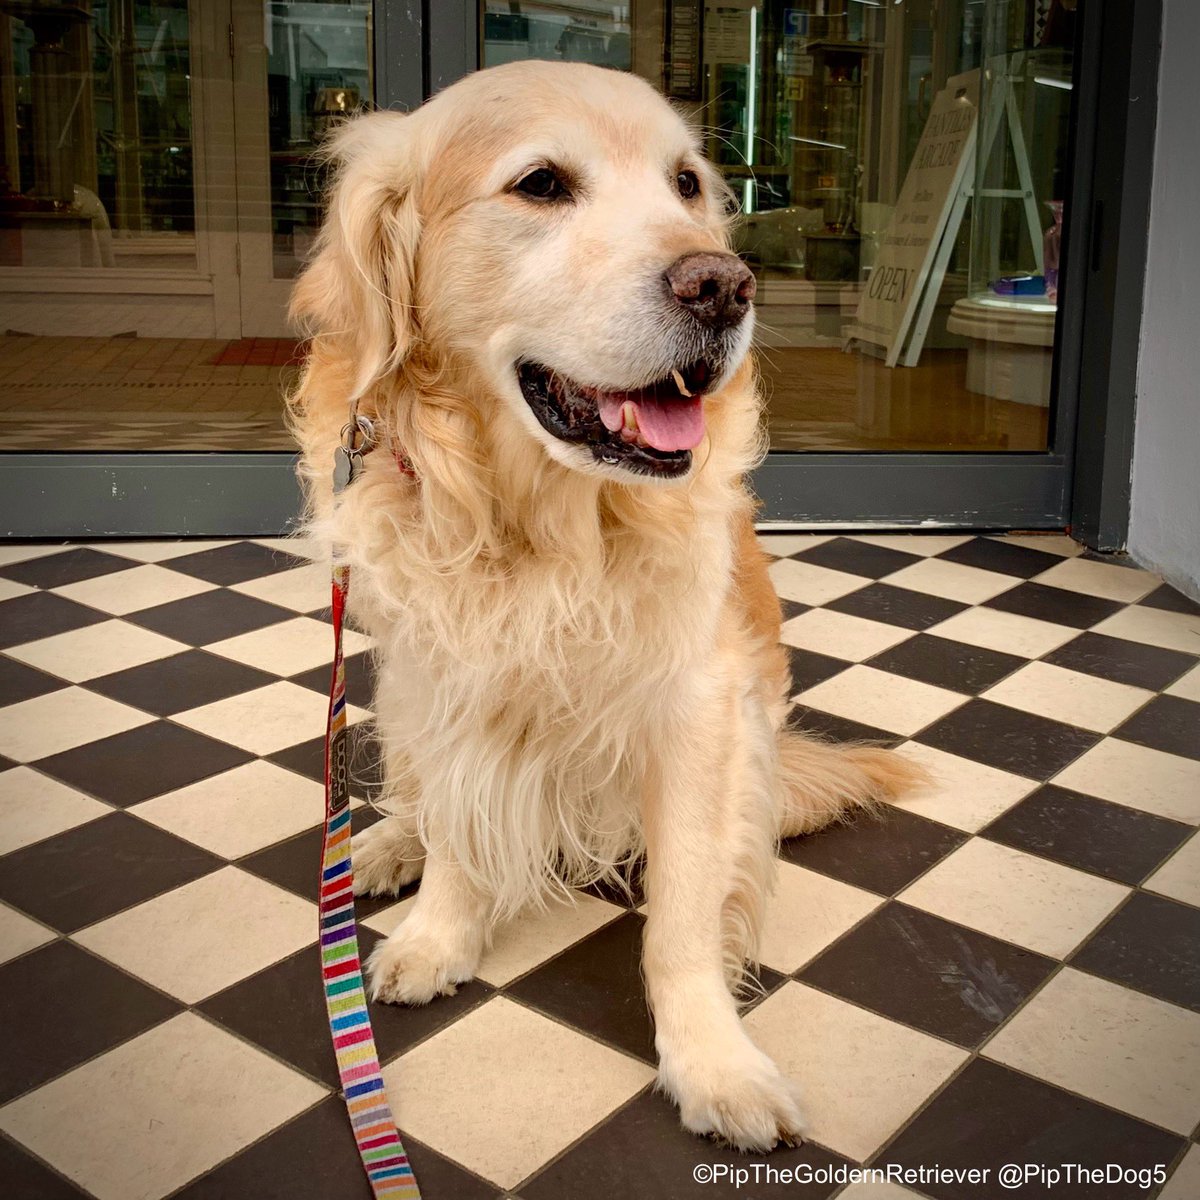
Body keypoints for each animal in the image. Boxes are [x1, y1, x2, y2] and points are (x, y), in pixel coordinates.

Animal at [290, 60, 916, 1147]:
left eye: (688, 185)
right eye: (541, 184)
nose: (723, 286)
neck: (541, 525)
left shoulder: (699, 709)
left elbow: (683, 919)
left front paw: (713, 1065)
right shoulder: (445, 677)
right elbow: (458, 818)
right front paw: (439, 934)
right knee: (414, 794)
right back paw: (382, 846)